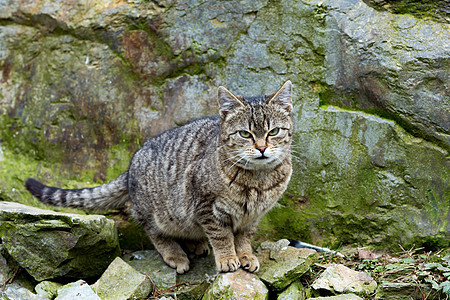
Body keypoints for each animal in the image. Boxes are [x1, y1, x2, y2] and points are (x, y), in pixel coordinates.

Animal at [27, 80, 296, 274]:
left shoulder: (253, 216)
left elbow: (243, 238)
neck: (258, 180)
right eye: (244, 134)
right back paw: (176, 254)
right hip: (159, 213)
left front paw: (246, 255)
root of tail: (130, 167)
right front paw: (228, 258)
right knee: (155, 232)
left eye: (274, 131)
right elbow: (222, 236)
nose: (261, 148)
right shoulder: (207, 207)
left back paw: (196, 244)